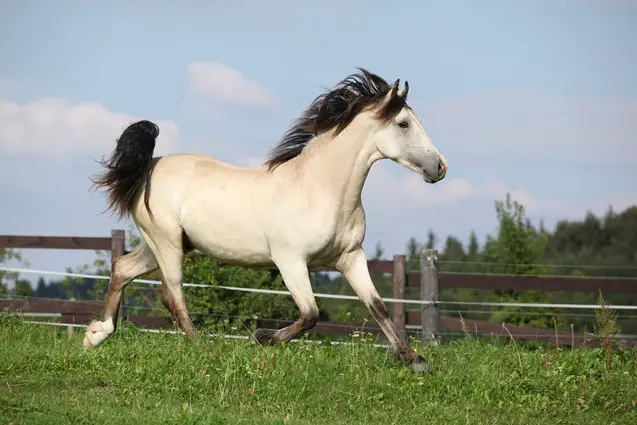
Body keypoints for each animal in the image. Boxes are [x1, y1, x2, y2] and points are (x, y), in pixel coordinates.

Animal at [83, 67, 448, 372]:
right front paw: (263, 338)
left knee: (123, 268)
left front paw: (412, 358)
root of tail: (148, 168)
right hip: (167, 243)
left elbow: (378, 306)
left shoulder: (350, 258)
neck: (319, 189)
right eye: (403, 124)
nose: (440, 167)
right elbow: (311, 313)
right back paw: (202, 347)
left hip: (164, 244)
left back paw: (96, 334)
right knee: (173, 295)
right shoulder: (290, 260)